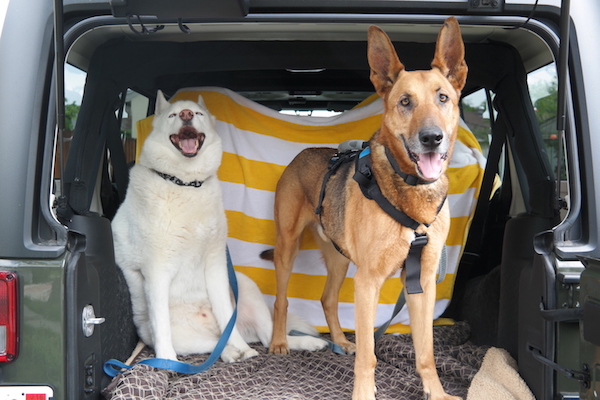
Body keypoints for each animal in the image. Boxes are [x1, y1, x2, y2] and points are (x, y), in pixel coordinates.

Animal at [112, 90, 328, 362]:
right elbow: (161, 323)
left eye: (198, 113)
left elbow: (227, 316)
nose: (186, 114)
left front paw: (240, 345)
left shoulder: (215, 264)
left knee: (265, 337)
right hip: (186, 339)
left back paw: (283, 345)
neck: (185, 183)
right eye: (173, 115)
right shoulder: (156, 271)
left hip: (246, 287)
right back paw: (228, 353)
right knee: (214, 344)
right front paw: (166, 360)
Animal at [264, 17, 468, 398]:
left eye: (443, 97)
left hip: (339, 257)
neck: (411, 192)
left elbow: (426, 352)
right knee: (281, 300)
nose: (432, 138)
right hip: (288, 247)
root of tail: (303, 153)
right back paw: (280, 341)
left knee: (328, 299)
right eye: (405, 101)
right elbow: (369, 356)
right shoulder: (368, 282)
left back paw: (341, 341)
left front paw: (435, 391)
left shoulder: (421, 284)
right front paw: (363, 391)